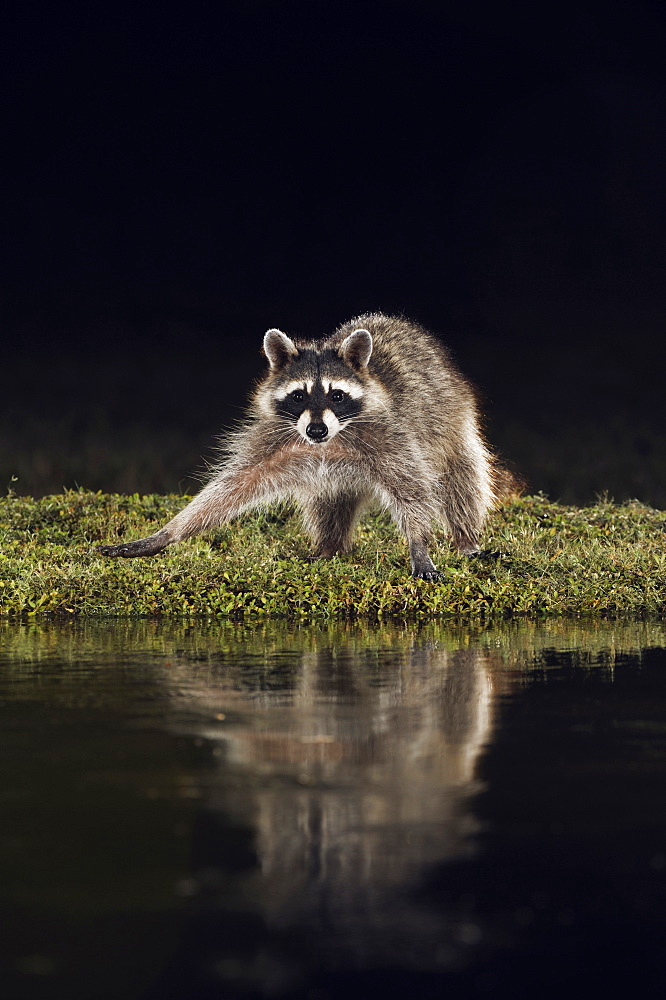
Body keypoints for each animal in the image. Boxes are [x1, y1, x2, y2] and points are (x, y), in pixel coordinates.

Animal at [100, 312, 512, 580]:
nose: (315, 430)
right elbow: (231, 486)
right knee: (328, 504)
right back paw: (328, 549)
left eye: (337, 395)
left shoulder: (391, 436)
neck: (329, 441)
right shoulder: (276, 439)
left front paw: (419, 544)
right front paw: (168, 533)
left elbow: (414, 491)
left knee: (462, 480)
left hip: (452, 422)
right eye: (298, 395)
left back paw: (465, 538)